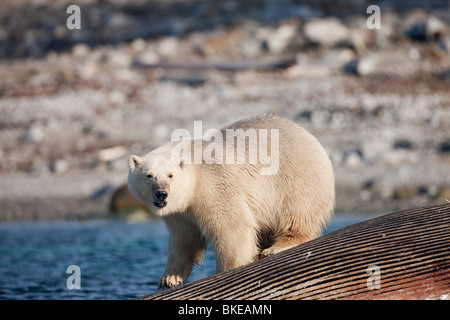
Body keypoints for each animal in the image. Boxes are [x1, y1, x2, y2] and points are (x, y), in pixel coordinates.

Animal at [126, 114, 334, 288]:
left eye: (170, 175)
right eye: (149, 175)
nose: (161, 194)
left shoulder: (215, 185)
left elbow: (231, 228)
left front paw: (226, 269)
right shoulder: (180, 212)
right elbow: (184, 239)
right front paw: (169, 278)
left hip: (295, 177)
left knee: (297, 212)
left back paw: (277, 247)